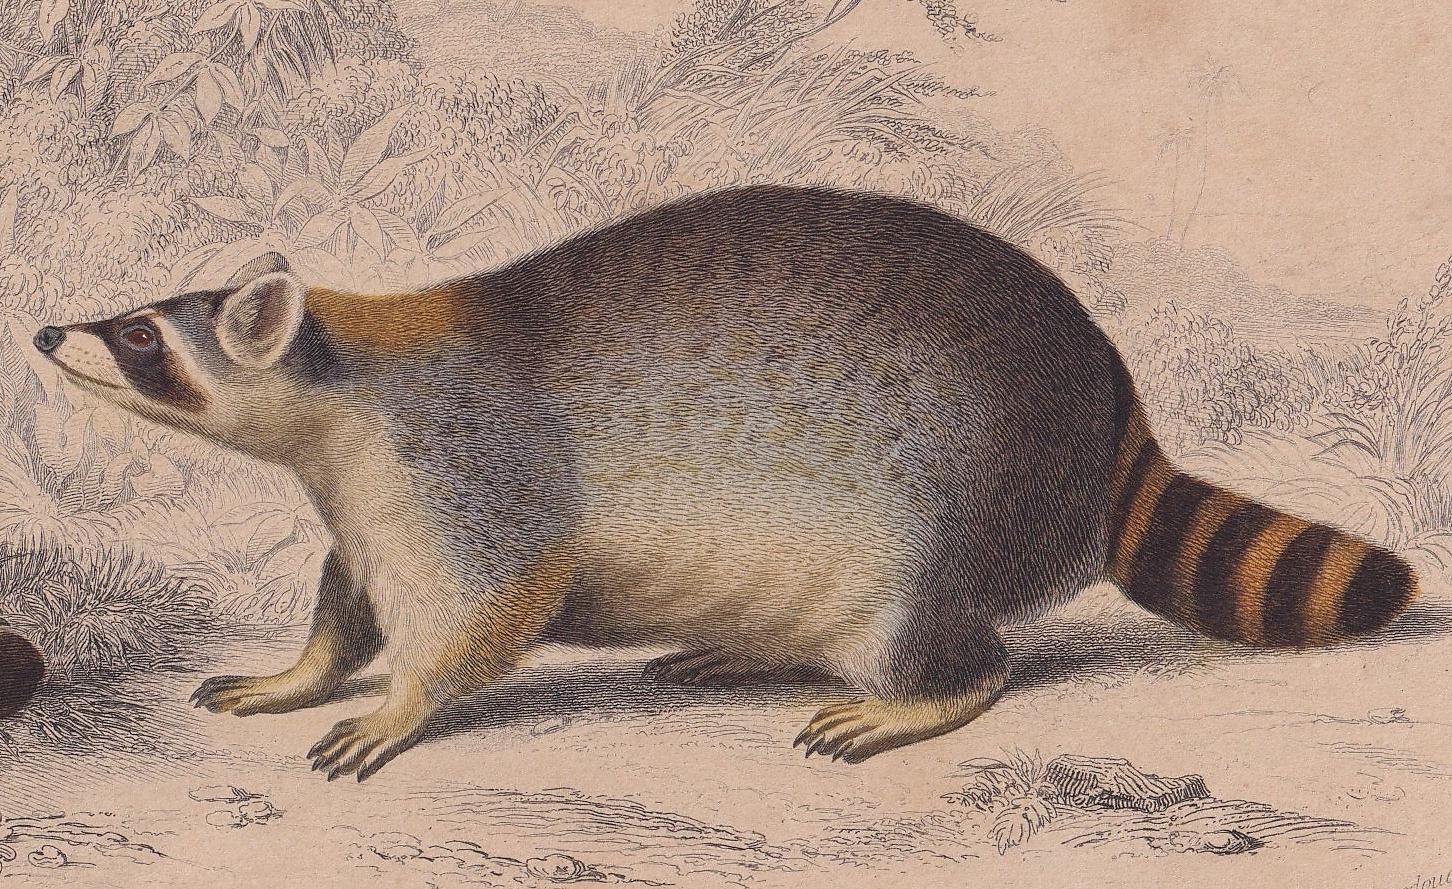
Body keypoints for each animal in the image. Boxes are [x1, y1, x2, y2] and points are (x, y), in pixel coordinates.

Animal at [32, 185, 1418, 781]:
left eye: (144, 338)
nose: (46, 332)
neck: (347, 367)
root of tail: (1110, 400)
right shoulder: (367, 501)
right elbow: (348, 598)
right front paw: (303, 668)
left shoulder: (468, 466)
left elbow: (494, 603)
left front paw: (405, 699)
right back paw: (752, 649)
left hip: (956, 498)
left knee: (940, 633)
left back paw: (926, 690)